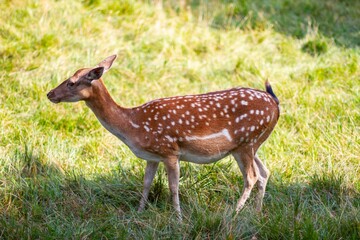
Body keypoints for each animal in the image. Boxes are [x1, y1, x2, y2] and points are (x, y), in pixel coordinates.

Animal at [46, 54, 280, 219]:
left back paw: (233, 213)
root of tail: (275, 104)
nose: (49, 94)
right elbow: (146, 183)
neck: (133, 125)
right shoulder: (152, 156)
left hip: (246, 141)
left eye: (72, 82)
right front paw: (139, 212)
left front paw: (178, 218)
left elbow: (173, 186)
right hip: (251, 144)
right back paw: (256, 213)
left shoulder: (169, 151)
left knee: (251, 176)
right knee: (264, 172)